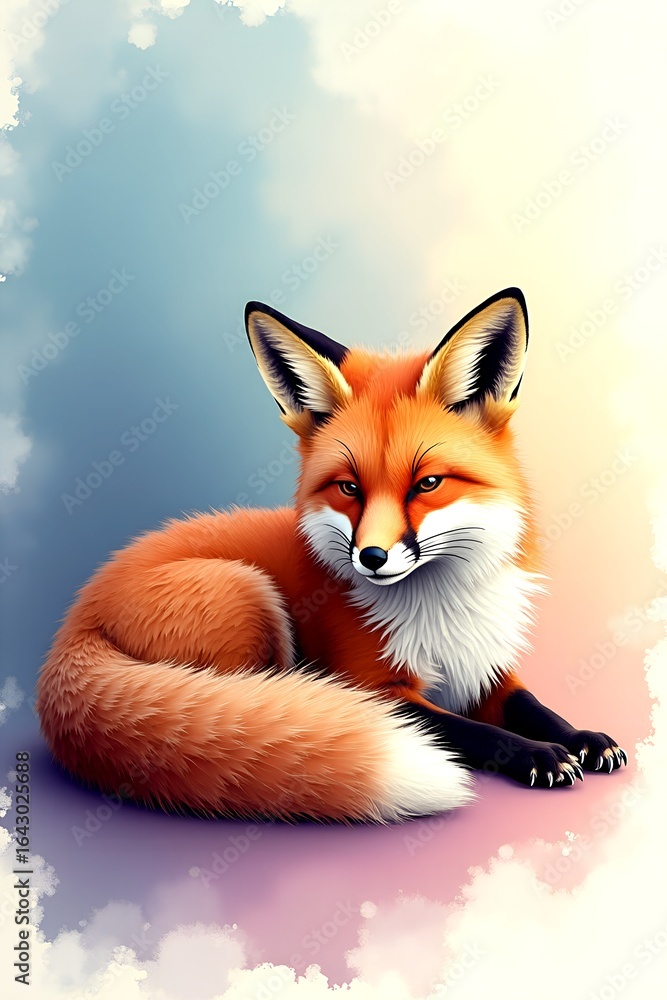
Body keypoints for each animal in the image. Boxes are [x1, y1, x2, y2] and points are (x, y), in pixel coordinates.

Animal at [37, 288, 627, 822]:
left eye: (427, 483)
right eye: (349, 488)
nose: (372, 557)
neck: (442, 613)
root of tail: (79, 613)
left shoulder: (485, 670)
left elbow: (533, 706)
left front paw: (583, 738)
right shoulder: (377, 686)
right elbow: (471, 729)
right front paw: (537, 755)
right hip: (250, 595)